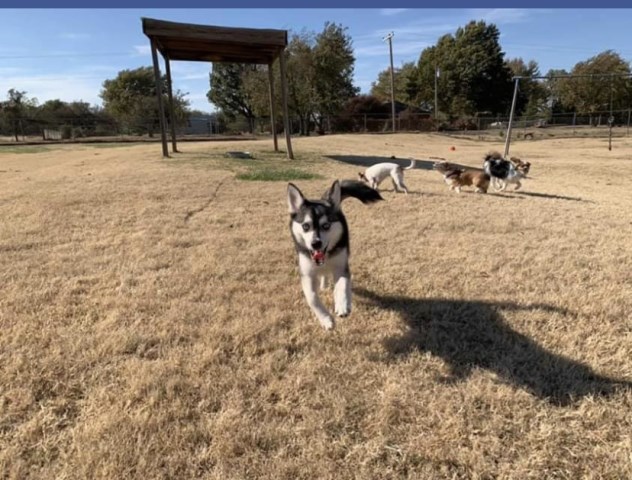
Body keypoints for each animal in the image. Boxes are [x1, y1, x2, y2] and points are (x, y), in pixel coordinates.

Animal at [288, 179, 386, 330]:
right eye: (305, 226)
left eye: (326, 226)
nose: (316, 243)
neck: (325, 257)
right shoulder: (307, 274)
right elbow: (312, 298)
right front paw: (326, 319)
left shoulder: (341, 267)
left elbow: (342, 285)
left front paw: (342, 305)